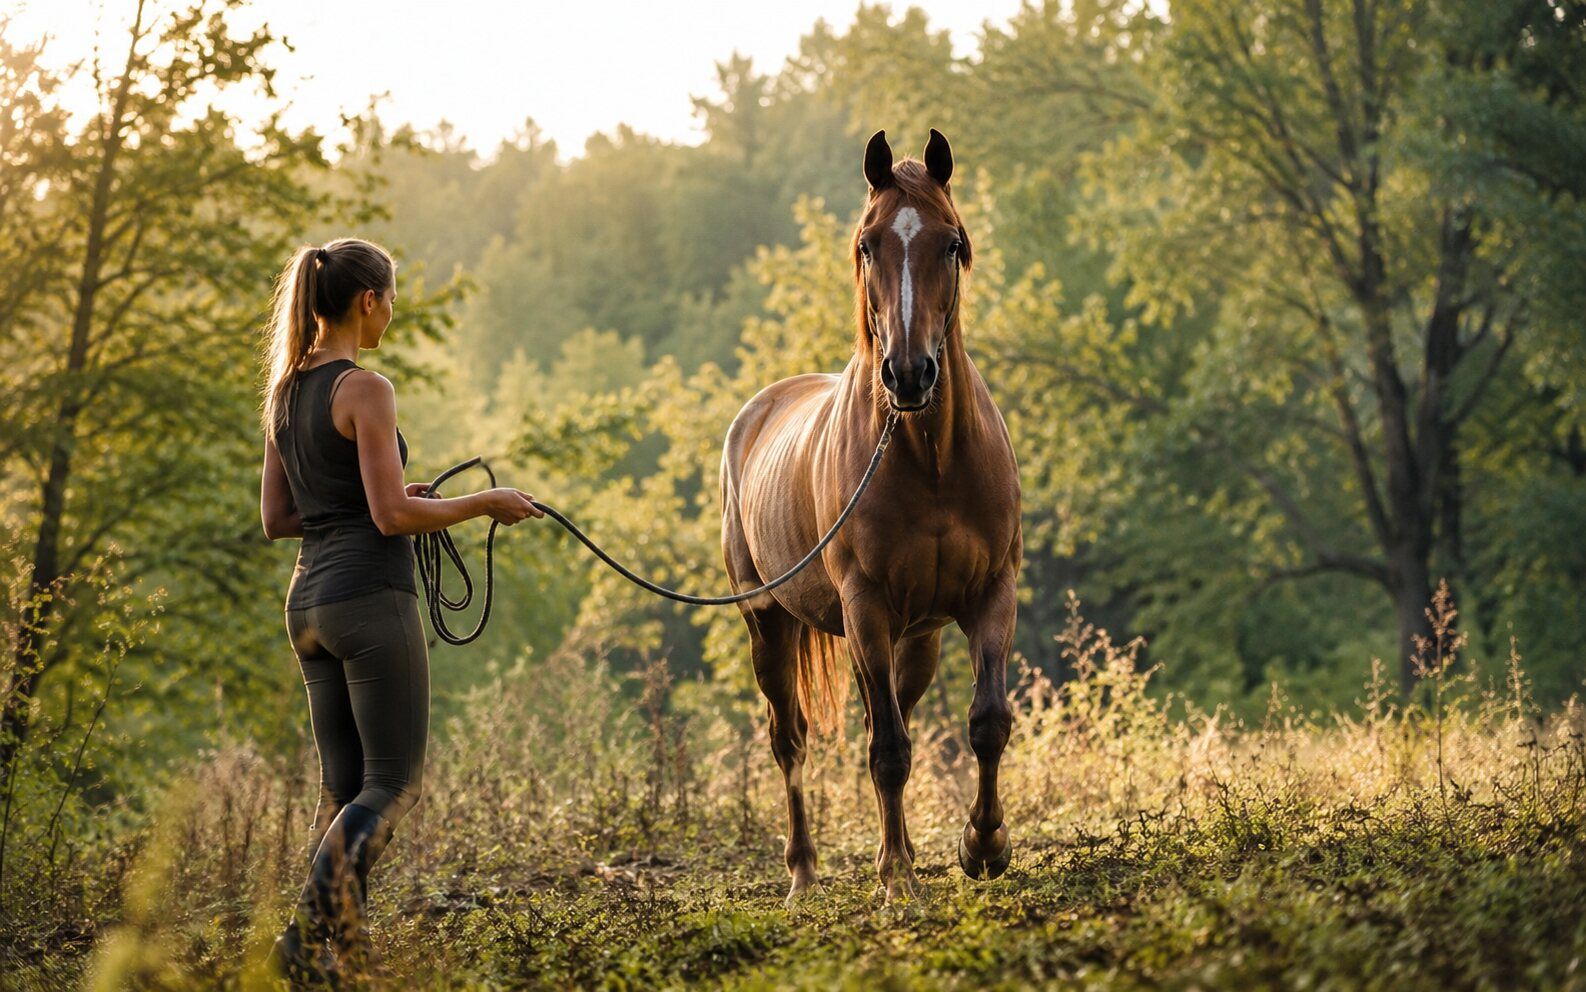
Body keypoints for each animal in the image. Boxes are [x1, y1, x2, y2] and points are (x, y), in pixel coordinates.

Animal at [720, 129, 1022, 904]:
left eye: (951, 242)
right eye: (867, 244)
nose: (909, 375)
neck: (931, 458)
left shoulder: (991, 595)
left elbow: (986, 724)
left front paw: (982, 847)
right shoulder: (865, 608)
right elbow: (887, 752)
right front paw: (896, 882)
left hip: (915, 640)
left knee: (893, 716)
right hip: (770, 626)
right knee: (792, 739)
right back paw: (804, 873)